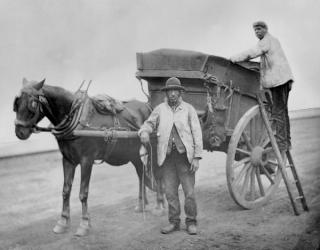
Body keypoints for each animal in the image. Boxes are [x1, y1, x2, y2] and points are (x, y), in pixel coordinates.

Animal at [13, 78, 164, 236]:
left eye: (32, 103)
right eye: (16, 103)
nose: (19, 132)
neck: (75, 118)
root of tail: (148, 106)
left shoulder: (87, 160)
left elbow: (83, 193)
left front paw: (84, 224)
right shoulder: (68, 160)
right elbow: (66, 191)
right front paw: (62, 222)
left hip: (153, 147)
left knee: (157, 172)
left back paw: (159, 205)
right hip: (132, 153)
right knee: (141, 173)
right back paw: (142, 204)